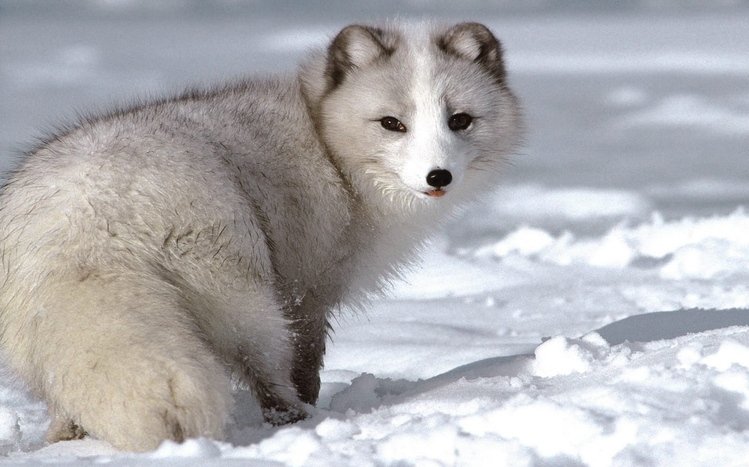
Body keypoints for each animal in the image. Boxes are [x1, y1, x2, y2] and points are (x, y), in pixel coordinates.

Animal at [0, 22, 522, 451]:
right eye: (392, 124)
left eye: (460, 120)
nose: (439, 176)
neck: (327, 144)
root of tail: (88, 215)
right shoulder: (307, 290)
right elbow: (307, 362)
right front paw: (310, 404)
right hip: (243, 297)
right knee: (266, 371)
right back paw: (296, 420)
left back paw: (63, 441)